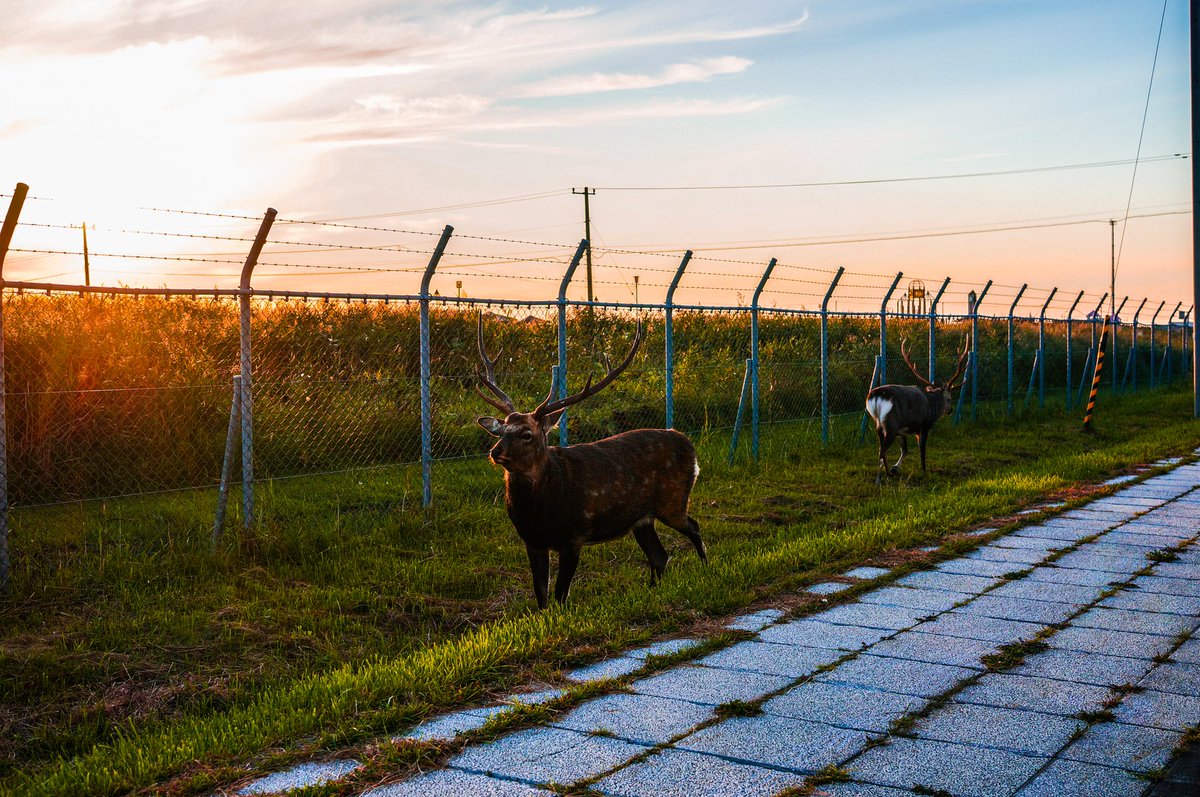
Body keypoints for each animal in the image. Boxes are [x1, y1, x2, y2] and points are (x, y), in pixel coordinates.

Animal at [474, 314, 707, 609]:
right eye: (501, 430)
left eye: (527, 434)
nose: (495, 452)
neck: (541, 510)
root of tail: (688, 444)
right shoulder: (532, 540)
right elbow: (541, 596)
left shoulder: (574, 536)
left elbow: (560, 594)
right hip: (642, 519)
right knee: (659, 556)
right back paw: (653, 592)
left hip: (674, 500)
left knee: (693, 528)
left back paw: (707, 571)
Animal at [865, 336, 970, 486]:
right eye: (950, 398)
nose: (950, 410)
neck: (933, 406)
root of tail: (875, 396)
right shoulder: (924, 426)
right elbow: (922, 451)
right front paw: (924, 472)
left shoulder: (903, 431)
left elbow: (905, 450)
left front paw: (895, 468)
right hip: (891, 424)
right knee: (882, 450)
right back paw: (881, 478)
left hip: (878, 424)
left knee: (881, 449)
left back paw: (886, 475)